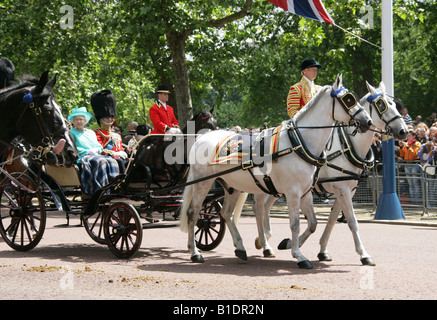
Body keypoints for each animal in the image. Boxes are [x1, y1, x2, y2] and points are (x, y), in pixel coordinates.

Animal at [179, 74, 370, 268]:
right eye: (349, 99)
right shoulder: (296, 192)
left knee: (227, 213)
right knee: (193, 213)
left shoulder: (307, 192)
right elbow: (296, 224)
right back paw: (195, 252)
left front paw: (292, 246)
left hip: (233, 187)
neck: (299, 143)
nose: (366, 122)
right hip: (203, 183)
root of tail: (201, 137)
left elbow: (313, 222)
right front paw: (299, 255)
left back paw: (241, 248)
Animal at [250, 82, 408, 264]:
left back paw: (265, 240)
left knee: (266, 206)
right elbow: (352, 221)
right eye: (381, 104)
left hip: (276, 187)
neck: (348, 146)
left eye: (395, 104)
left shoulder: (346, 190)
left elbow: (332, 219)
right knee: (259, 207)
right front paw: (363, 254)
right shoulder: (341, 189)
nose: (403, 131)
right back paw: (265, 244)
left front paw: (321, 250)